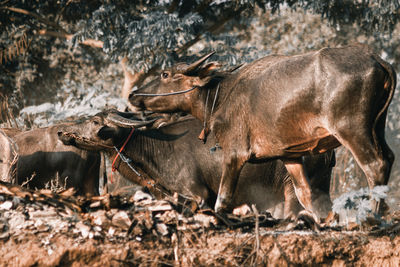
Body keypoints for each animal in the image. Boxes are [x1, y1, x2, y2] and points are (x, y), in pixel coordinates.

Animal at [130, 44, 396, 220]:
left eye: (165, 74)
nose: (134, 95)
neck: (222, 94)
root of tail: (377, 59)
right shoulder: (290, 155)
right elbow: (306, 196)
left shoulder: (235, 153)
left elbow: (222, 200)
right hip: (377, 127)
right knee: (389, 157)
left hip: (352, 129)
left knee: (375, 165)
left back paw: (374, 216)